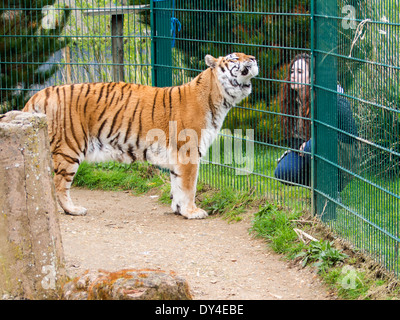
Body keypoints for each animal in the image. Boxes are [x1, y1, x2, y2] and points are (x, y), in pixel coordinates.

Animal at [22, 52, 260, 219]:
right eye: (234, 58)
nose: (254, 59)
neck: (219, 98)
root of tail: (38, 94)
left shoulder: (177, 157)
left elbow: (177, 184)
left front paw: (179, 209)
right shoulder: (188, 151)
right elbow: (189, 186)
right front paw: (192, 212)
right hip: (69, 149)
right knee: (58, 184)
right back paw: (73, 210)